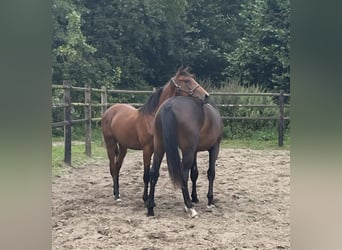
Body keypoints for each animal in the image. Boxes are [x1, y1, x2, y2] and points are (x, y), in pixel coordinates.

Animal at [100, 67, 210, 202]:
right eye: (186, 80)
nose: (206, 96)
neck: (152, 118)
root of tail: (109, 111)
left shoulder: (159, 149)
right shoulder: (147, 150)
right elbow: (146, 174)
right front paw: (145, 198)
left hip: (123, 147)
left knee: (117, 167)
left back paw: (117, 192)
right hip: (110, 144)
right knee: (113, 167)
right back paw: (116, 195)